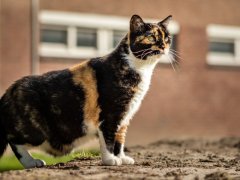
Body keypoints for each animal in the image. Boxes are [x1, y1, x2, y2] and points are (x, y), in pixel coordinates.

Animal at [0, 14, 172, 168]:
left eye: (167, 38)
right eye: (151, 37)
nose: (163, 46)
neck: (138, 68)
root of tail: (8, 91)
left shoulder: (124, 117)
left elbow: (119, 140)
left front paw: (121, 158)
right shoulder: (111, 115)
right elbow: (109, 139)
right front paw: (110, 160)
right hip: (35, 132)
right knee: (13, 140)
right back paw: (31, 162)